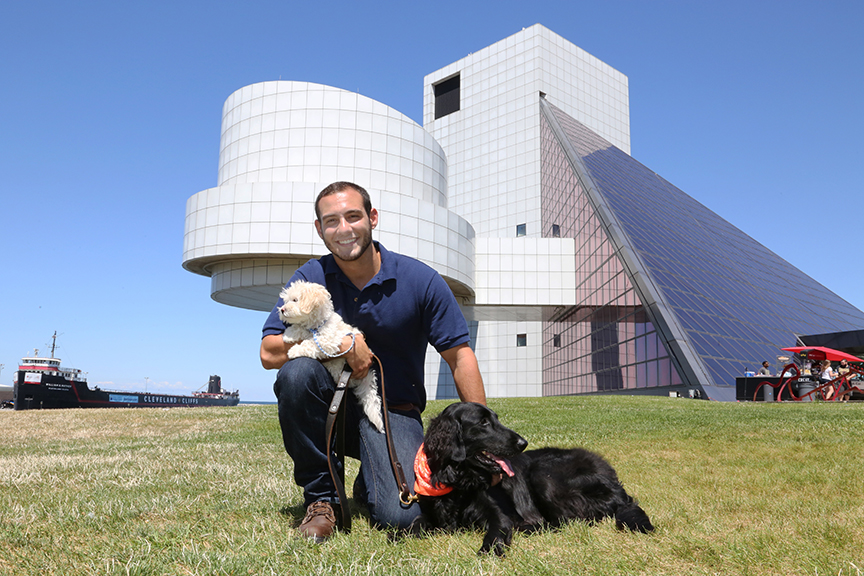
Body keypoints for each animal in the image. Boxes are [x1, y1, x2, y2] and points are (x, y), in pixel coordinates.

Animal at [278, 280, 384, 432]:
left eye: (295, 300)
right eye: (286, 301)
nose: (282, 309)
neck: (316, 324)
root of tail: (366, 378)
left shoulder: (329, 340)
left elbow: (311, 343)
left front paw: (294, 350)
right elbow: (301, 329)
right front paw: (289, 334)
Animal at [408, 402, 652, 556]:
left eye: (495, 419)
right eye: (483, 423)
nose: (523, 443)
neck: (460, 481)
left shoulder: (499, 515)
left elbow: (496, 532)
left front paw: (488, 550)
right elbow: (414, 524)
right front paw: (402, 535)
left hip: (543, 475)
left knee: (570, 520)